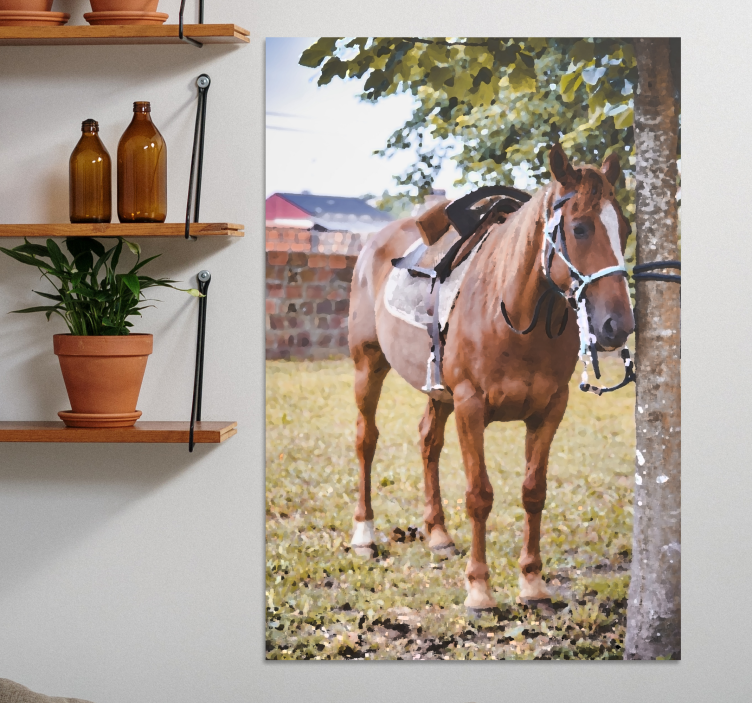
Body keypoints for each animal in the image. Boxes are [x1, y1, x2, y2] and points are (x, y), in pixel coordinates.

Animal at [347, 144, 634, 610]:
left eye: (624, 229)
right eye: (580, 228)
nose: (618, 326)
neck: (512, 313)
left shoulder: (550, 410)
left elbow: (534, 491)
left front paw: (532, 582)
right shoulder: (470, 405)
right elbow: (479, 495)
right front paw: (479, 589)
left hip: (437, 392)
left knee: (428, 441)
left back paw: (438, 534)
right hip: (367, 365)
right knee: (365, 440)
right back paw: (364, 535)